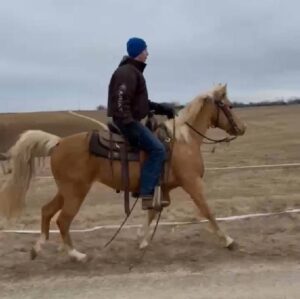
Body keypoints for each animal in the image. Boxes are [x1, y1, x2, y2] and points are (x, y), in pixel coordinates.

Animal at [0, 84, 246, 262]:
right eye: (229, 106)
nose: (242, 128)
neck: (183, 142)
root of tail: (58, 143)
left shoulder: (162, 188)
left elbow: (153, 213)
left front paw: (142, 240)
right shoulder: (192, 183)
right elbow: (207, 211)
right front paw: (228, 240)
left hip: (65, 191)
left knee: (47, 211)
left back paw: (38, 247)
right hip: (75, 192)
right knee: (63, 220)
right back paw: (76, 254)